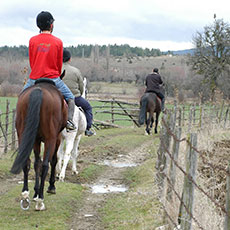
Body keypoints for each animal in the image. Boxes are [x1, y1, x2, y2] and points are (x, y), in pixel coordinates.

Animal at [10, 80, 67, 211]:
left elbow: (37, 163)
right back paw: (40, 201)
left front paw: (35, 193)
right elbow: (52, 161)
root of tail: (38, 91)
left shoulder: (35, 139)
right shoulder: (56, 138)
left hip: (23, 134)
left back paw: (25, 195)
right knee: (46, 164)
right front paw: (50, 187)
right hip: (51, 138)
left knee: (27, 162)